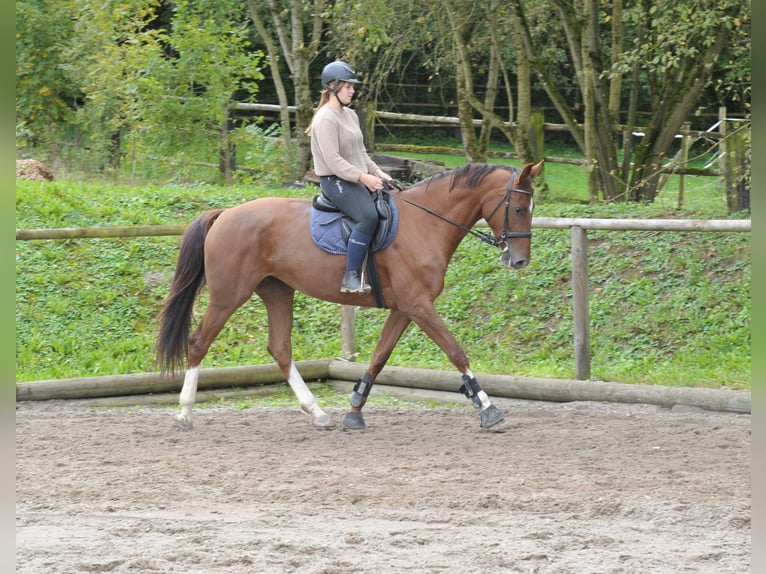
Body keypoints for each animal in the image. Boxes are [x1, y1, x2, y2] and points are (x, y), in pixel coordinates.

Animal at [154, 162, 540, 432]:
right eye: (519, 209)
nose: (519, 261)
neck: (425, 224)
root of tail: (224, 215)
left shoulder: (405, 308)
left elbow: (379, 357)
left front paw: (354, 409)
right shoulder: (418, 305)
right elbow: (456, 351)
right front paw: (488, 407)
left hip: (277, 291)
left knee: (280, 348)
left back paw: (317, 413)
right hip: (229, 294)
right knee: (199, 341)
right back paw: (185, 412)